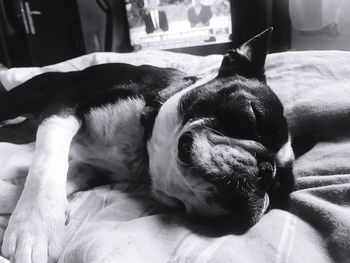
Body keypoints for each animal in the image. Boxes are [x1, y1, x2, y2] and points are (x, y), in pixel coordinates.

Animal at [0, 27, 294, 262]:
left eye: (278, 188)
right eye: (253, 116)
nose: (266, 171)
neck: (141, 136)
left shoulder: (91, 169)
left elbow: (65, 180)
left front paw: (10, 197)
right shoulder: (63, 107)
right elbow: (47, 166)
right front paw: (34, 227)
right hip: (26, 97)